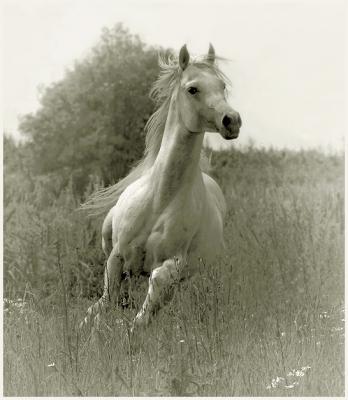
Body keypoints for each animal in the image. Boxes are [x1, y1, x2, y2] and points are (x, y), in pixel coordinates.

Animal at [80, 43, 241, 332]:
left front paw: (131, 332)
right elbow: (104, 302)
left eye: (221, 86)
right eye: (192, 89)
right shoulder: (117, 257)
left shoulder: (175, 263)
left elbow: (155, 290)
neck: (161, 199)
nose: (231, 120)